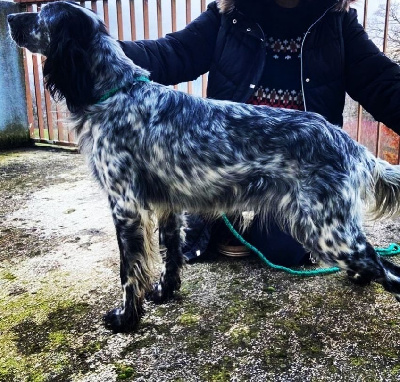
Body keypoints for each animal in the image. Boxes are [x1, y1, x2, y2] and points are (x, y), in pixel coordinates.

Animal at [7, 1, 400, 332]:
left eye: (41, 13)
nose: (10, 16)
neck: (117, 92)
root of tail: (354, 146)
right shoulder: (165, 205)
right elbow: (171, 255)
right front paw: (164, 292)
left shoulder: (126, 206)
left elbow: (129, 271)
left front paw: (125, 318)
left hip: (328, 231)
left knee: (386, 270)